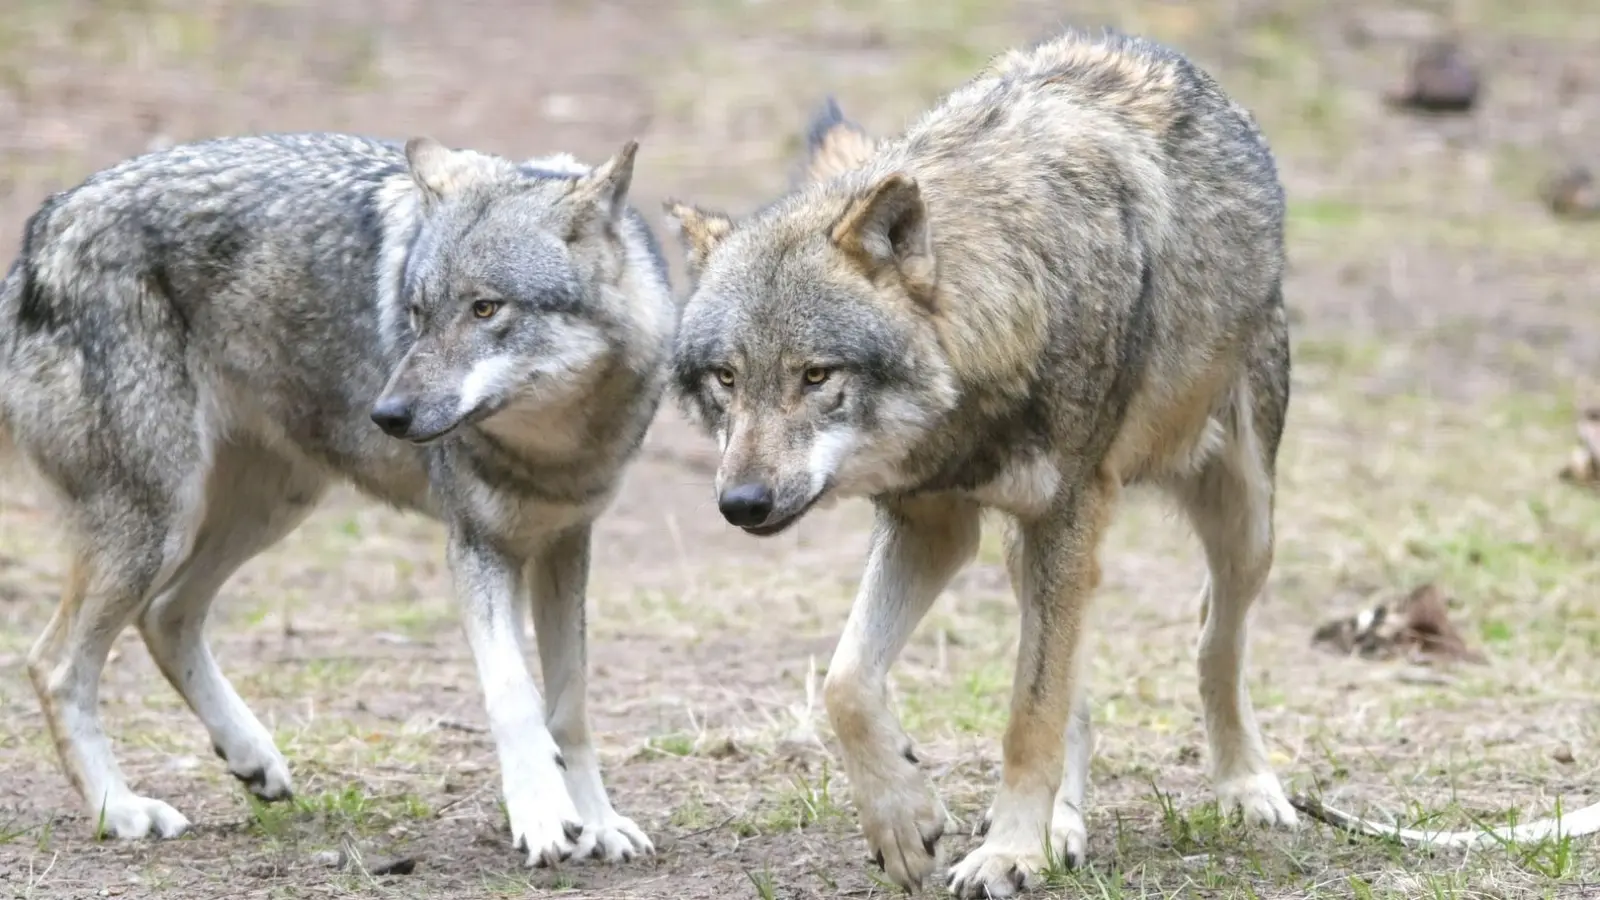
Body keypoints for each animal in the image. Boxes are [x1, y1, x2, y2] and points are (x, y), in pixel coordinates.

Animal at [0, 131, 675, 864]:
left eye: (485, 308)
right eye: (416, 315)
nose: (388, 414)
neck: (553, 446)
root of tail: (41, 229)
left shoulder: (564, 543)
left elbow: (570, 706)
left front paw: (599, 822)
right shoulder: (478, 548)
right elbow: (514, 696)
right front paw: (545, 817)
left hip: (270, 507)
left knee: (166, 615)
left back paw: (250, 756)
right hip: (161, 525)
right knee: (54, 664)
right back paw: (119, 809)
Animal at [662, 24, 1299, 890]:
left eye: (816, 375)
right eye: (726, 378)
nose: (742, 505)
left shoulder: (1065, 513)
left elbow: (1031, 714)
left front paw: (1007, 851)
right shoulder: (932, 524)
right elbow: (847, 682)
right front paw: (907, 821)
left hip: (1241, 521)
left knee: (1212, 640)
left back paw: (1246, 786)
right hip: (1032, 550)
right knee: (1079, 689)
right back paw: (1064, 828)